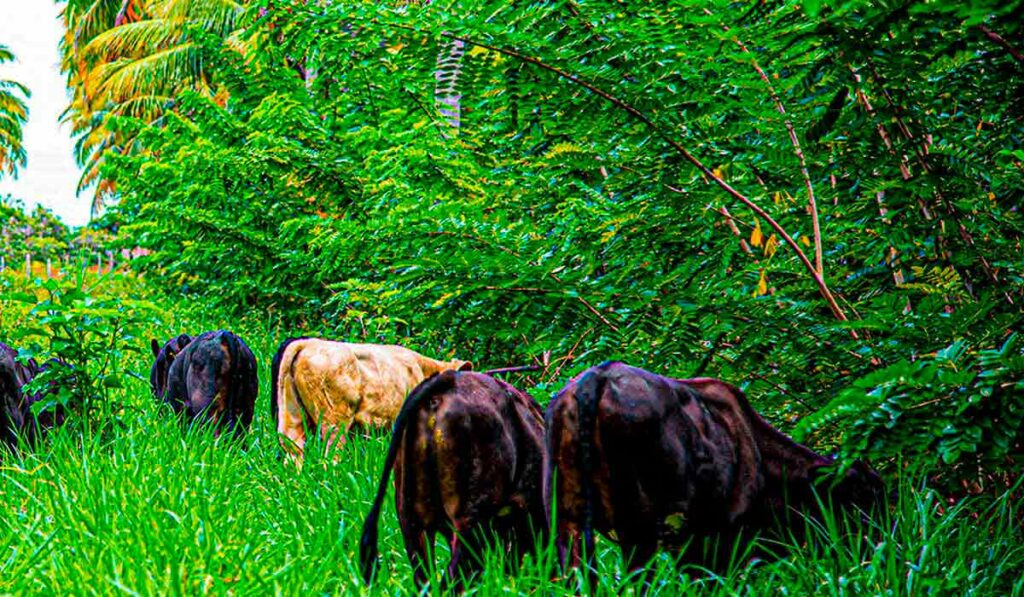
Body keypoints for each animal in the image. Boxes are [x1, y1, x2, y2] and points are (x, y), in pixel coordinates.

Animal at [544, 362, 888, 585]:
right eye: (864, 498)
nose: (885, 551)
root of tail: (598, 375)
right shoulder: (716, 544)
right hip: (638, 528)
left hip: (568, 524)